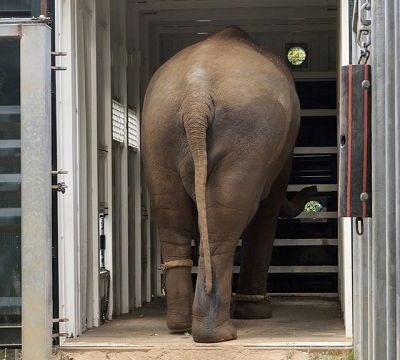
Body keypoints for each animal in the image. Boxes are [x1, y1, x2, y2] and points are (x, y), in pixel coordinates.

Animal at [142, 26, 318, 344]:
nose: (314, 191)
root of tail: (196, 97)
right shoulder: (281, 153)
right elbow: (267, 210)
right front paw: (257, 313)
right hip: (246, 134)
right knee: (226, 219)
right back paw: (219, 334)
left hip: (159, 131)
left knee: (172, 215)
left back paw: (180, 325)